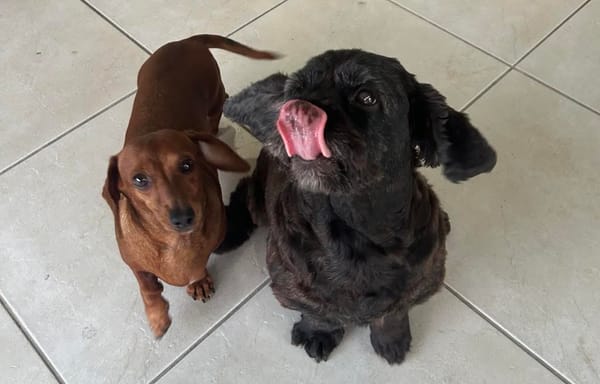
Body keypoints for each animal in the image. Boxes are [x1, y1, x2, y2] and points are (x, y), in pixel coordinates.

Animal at [218, 49, 494, 364]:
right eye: (295, 91)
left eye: (366, 97)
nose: (295, 107)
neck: (352, 227)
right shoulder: (292, 287)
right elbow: (320, 313)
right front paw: (318, 332)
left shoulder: (421, 282)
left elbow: (393, 312)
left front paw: (391, 338)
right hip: (257, 200)